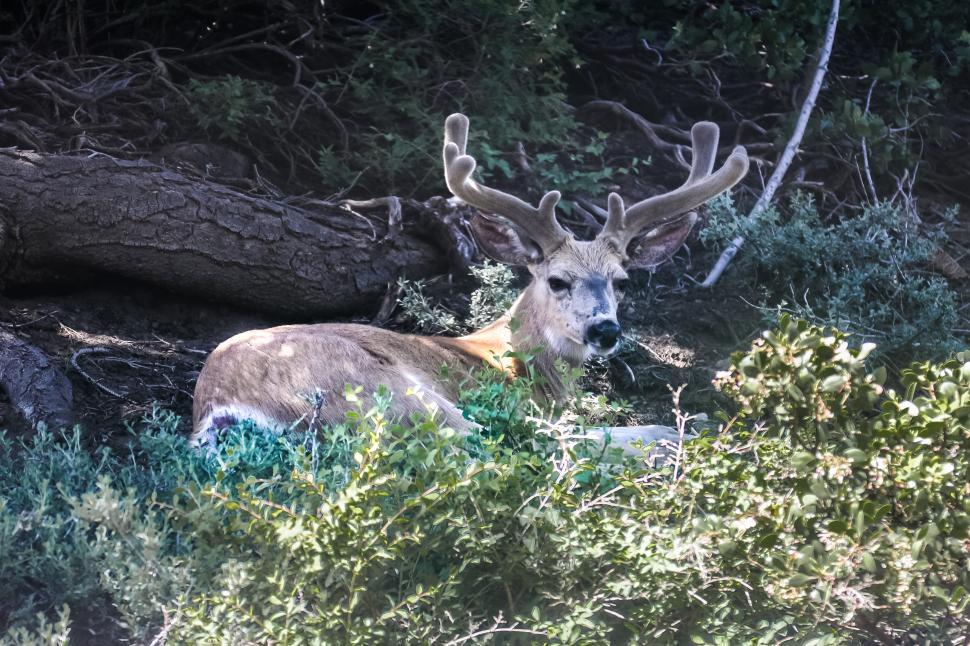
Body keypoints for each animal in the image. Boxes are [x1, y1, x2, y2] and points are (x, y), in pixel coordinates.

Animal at [191, 112, 748, 456]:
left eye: (623, 281)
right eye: (557, 280)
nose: (604, 331)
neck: (512, 360)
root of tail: (220, 406)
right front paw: (690, 425)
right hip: (385, 392)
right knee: (514, 446)